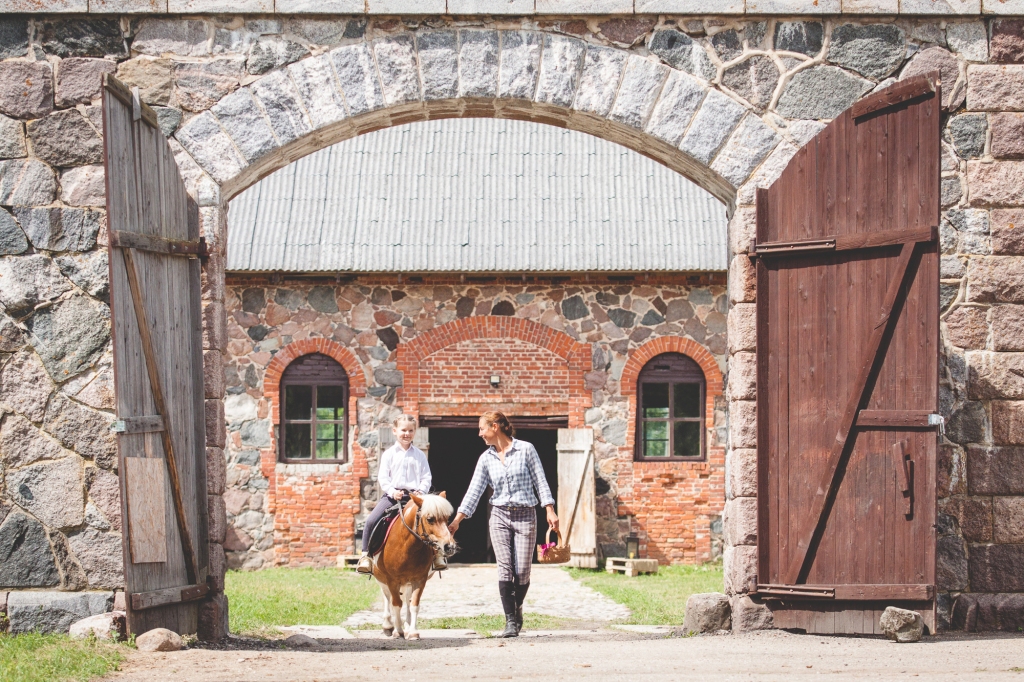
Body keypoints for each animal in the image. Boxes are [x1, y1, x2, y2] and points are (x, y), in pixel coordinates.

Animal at [372, 489, 456, 638]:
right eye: (430, 519)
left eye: (447, 519)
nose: (449, 547)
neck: (406, 547)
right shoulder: (392, 580)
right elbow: (396, 603)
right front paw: (397, 631)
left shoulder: (420, 579)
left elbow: (414, 604)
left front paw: (412, 632)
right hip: (381, 577)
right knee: (386, 596)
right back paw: (388, 625)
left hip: (408, 582)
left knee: (407, 599)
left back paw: (406, 625)